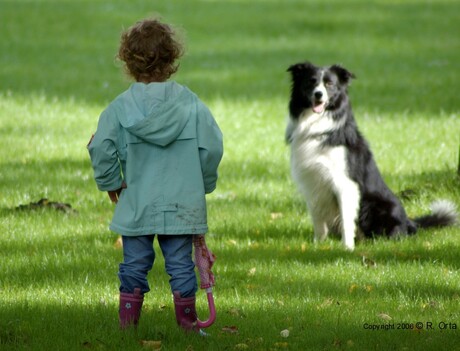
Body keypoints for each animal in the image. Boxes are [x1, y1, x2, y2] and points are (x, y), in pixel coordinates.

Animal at [288, 62, 456, 252]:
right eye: (311, 81)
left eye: (329, 84)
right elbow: (318, 220)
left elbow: (346, 220)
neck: (319, 127)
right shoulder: (312, 182)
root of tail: (410, 223)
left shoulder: (345, 184)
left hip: (376, 207)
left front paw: (348, 248)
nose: (318, 94)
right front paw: (318, 244)